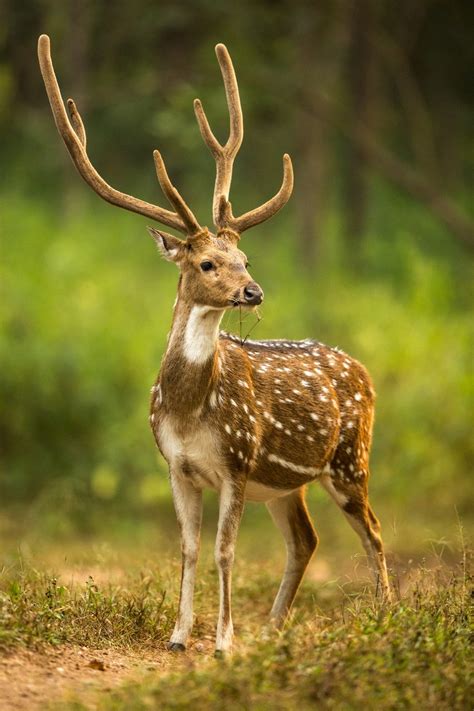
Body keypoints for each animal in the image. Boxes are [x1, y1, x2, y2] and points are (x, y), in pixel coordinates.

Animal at [39, 33, 390, 656]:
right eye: (207, 262)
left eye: (244, 257)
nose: (253, 290)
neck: (187, 409)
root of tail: (363, 371)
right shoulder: (177, 467)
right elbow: (189, 549)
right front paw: (179, 636)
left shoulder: (237, 460)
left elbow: (225, 551)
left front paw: (223, 640)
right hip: (287, 485)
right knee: (306, 540)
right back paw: (272, 630)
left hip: (350, 458)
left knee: (372, 532)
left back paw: (387, 619)